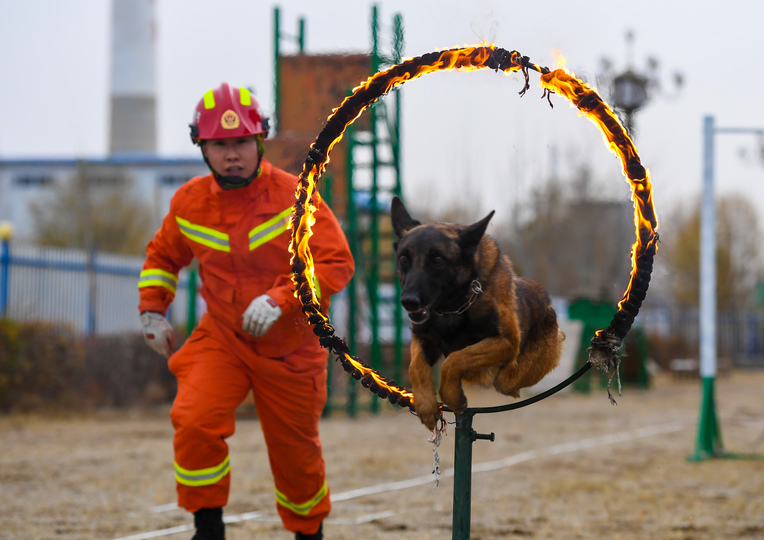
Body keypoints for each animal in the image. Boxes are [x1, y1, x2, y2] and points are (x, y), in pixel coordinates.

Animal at [390, 197, 564, 430]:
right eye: (404, 259)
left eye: (437, 260)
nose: (409, 301)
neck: (452, 307)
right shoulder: (423, 338)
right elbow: (415, 367)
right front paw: (425, 406)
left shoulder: (506, 342)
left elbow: (455, 359)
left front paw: (452, 396)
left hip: (511, 376)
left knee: (506, 382)